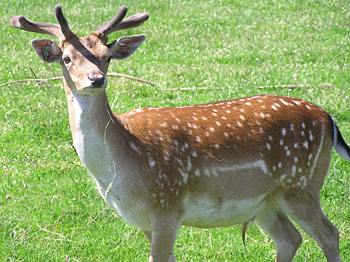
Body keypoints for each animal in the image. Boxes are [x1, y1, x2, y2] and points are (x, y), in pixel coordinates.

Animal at [10, 5, 348, 260]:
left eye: (106, 57)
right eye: (67, 59)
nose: (96, 79)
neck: (121, 162)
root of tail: (327, 118)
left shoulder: (166, 206)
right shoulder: (145, 221)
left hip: (301, 184)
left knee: (330, 234)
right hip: (266, 200)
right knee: (290, 239)